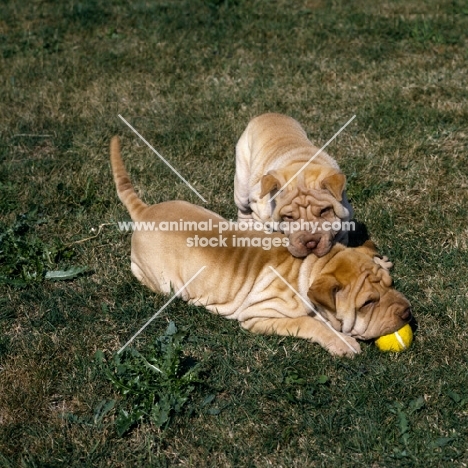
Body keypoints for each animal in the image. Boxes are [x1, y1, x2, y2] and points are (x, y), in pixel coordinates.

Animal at [111, 137, 412, 356]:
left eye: (391, 284)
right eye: (368, 302)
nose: (407, 312)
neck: (313, 267)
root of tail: (145, 211)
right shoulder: (260, 315)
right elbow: (308, 322)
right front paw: (341, 341)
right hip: (161, 281)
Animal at [236, 113, 352, 258]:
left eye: (324, 211)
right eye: (289, 217)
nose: (311, 243)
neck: (301, 164)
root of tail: (268, 114)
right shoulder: (259, 211)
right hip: (242, 184)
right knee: (243, 209)